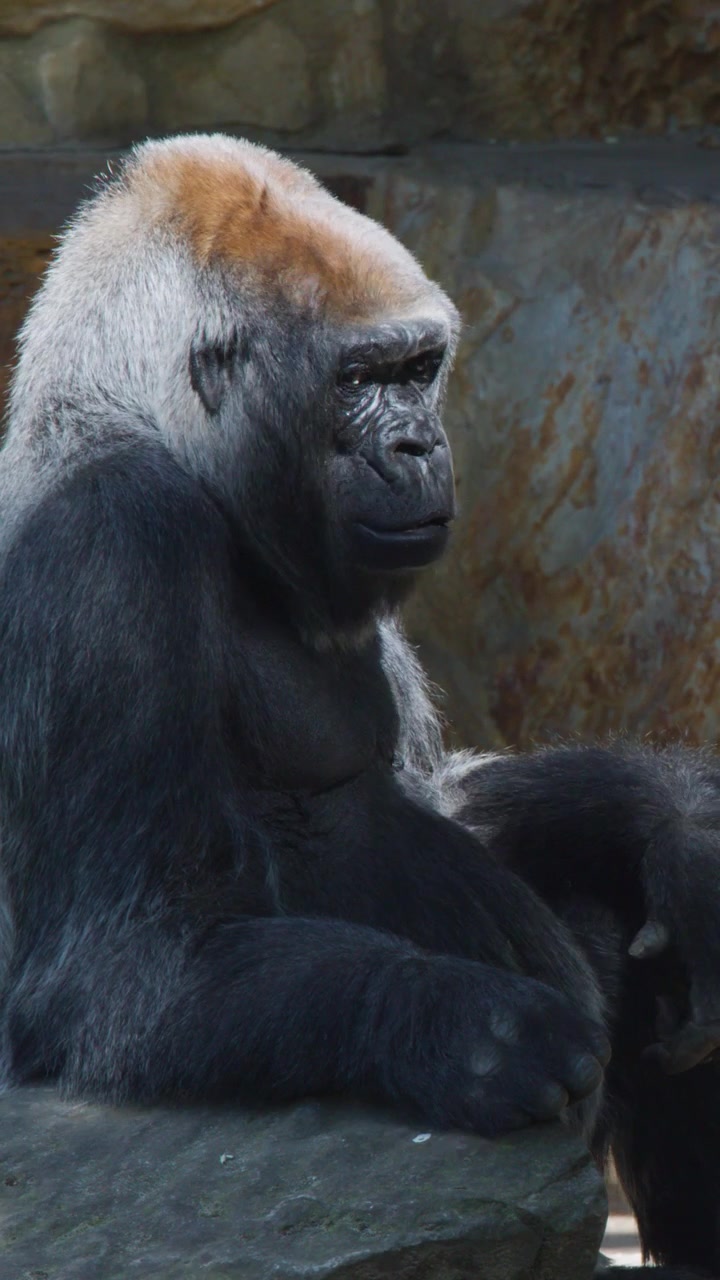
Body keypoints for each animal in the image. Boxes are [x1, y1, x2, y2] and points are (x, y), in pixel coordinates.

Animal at [0, 134, 718, 1278]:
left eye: (418, 370)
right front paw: (456, 1026)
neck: (134, 421)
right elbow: (114, 969)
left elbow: (443, 794)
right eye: (360, 380)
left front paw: (676, 826)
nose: (422, 447)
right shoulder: (107, 549)